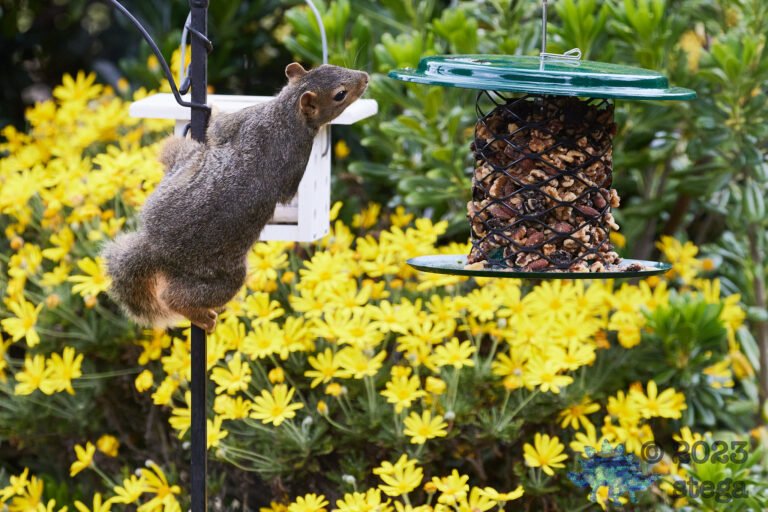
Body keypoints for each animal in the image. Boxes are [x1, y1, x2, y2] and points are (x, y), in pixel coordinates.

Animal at [103, 62, 369, 332]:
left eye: (328, 66)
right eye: (340, 95)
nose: (365, 78)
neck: (285, 113)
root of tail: (155, 247)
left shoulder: (246, 120)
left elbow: (219, 130)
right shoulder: (276, 139)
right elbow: (220, 128)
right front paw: (215, 107)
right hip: (223, 273)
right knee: (173, 297)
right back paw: (198, 315)